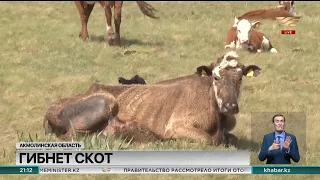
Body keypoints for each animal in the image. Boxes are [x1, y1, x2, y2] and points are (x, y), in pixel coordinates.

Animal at [43, 50, 262, 145]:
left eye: (240, 77)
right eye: (216, 77)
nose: (230, 106)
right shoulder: (176, 126)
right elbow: (209, 140)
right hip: (104, 101)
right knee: (71, 136)